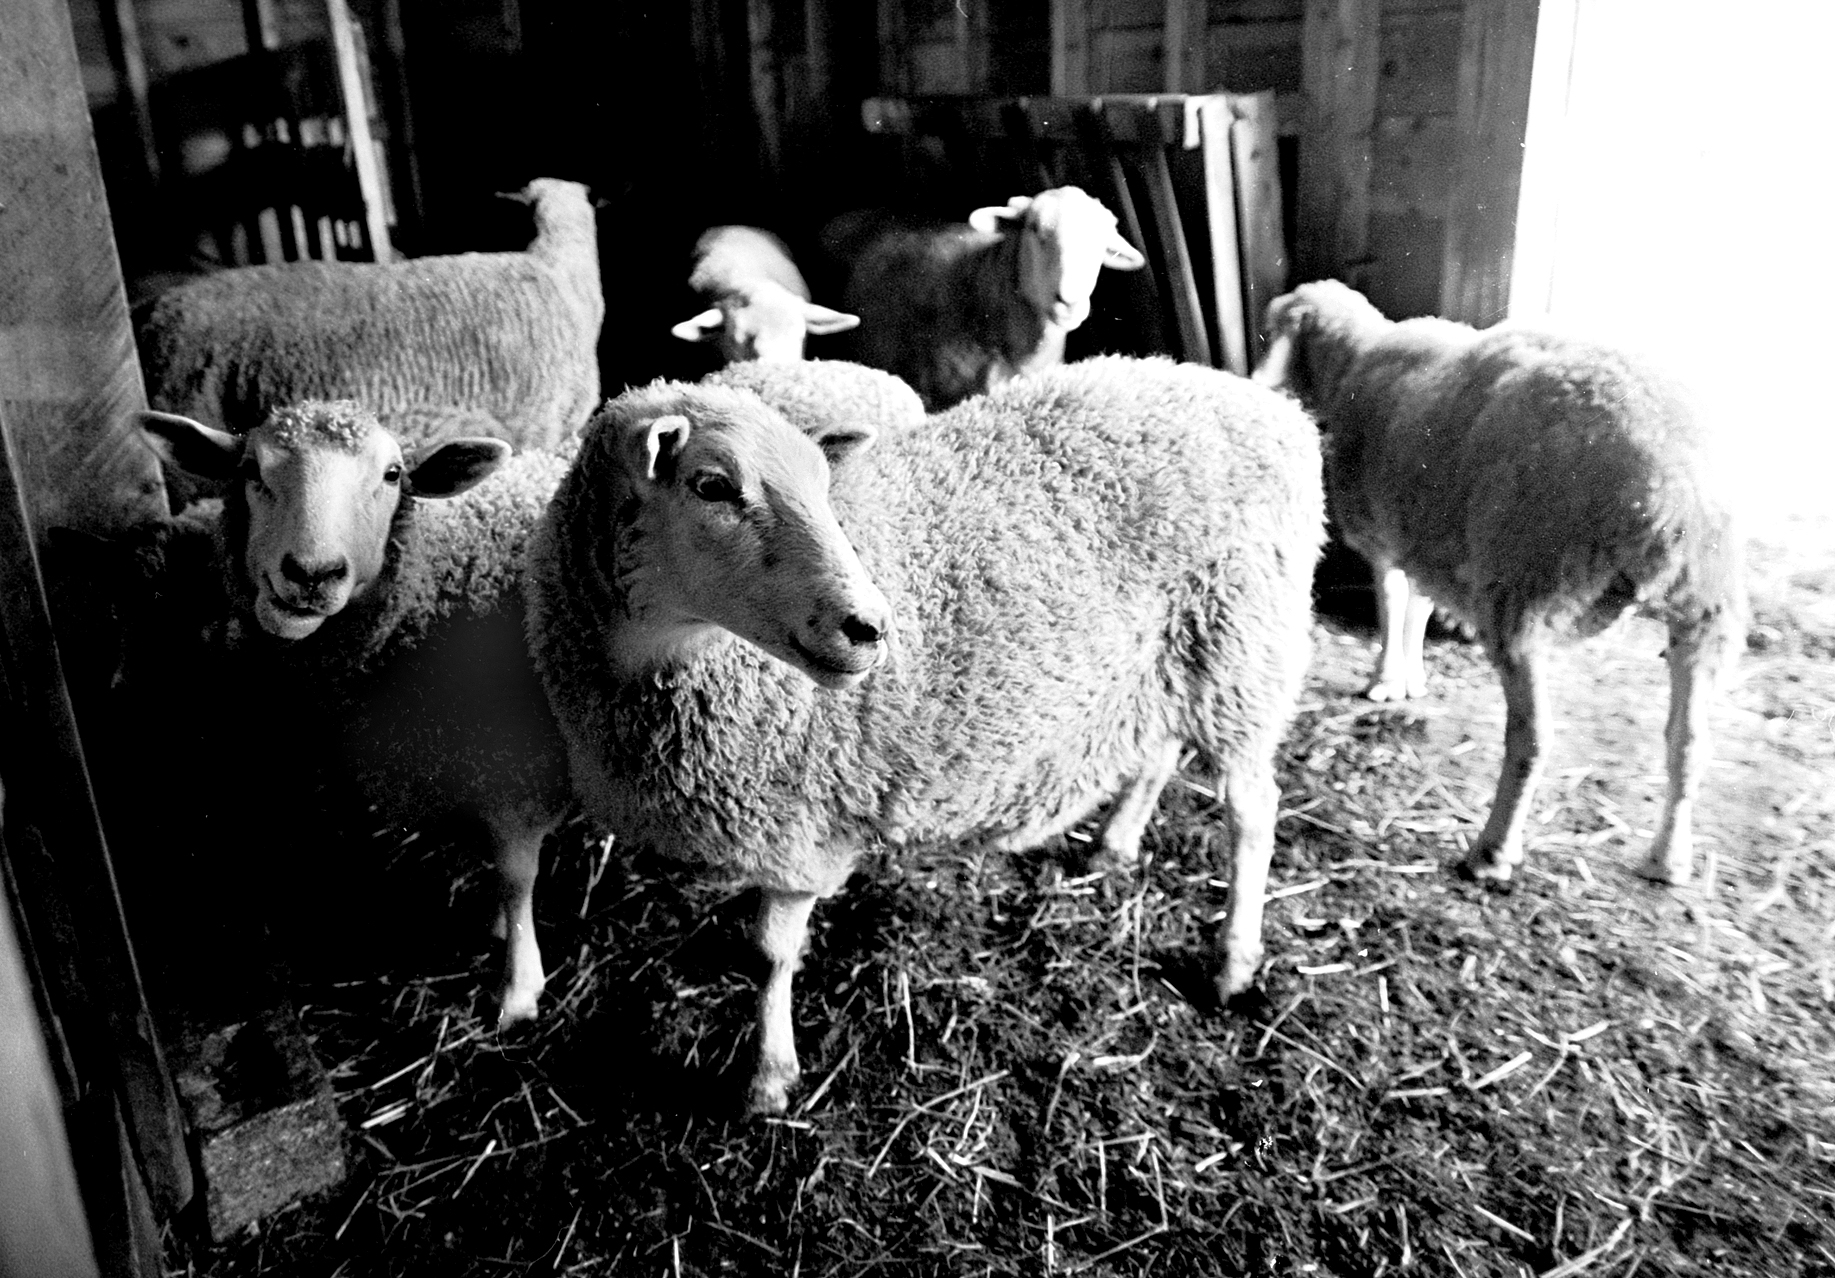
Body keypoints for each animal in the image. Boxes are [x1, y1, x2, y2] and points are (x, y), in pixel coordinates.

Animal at [134, 400, 577, 1022]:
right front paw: (494, 928)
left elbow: (517, 877)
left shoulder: (520, 772)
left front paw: (518, 990)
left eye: (393, 475)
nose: (311, 574)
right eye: (250, 470)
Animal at [526, 356, 1324, 1114]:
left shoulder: (802, 827)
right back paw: (1115, 844)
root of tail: (1273, 407)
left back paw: (1232, 963)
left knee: (1252, 810)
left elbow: (769, 955)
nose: (871, 627)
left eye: (824, 487)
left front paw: (768, 1080)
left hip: (1244, 645)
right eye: (712, 486)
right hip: (1169, 655)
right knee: (1158, 748)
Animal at [1253, 279, 1744, 887]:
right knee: (1690, 742)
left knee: (1532, 740)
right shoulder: (1425, 536)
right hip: (1706, 610)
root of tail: (1667, 488)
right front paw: (1412, 677)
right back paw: (1668, 859)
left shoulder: (1383, 537)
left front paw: (1384, 679)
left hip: (1524, 589)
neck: (1354, 360)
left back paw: (1491, 852)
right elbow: (1417, 608)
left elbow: (1391, 604)